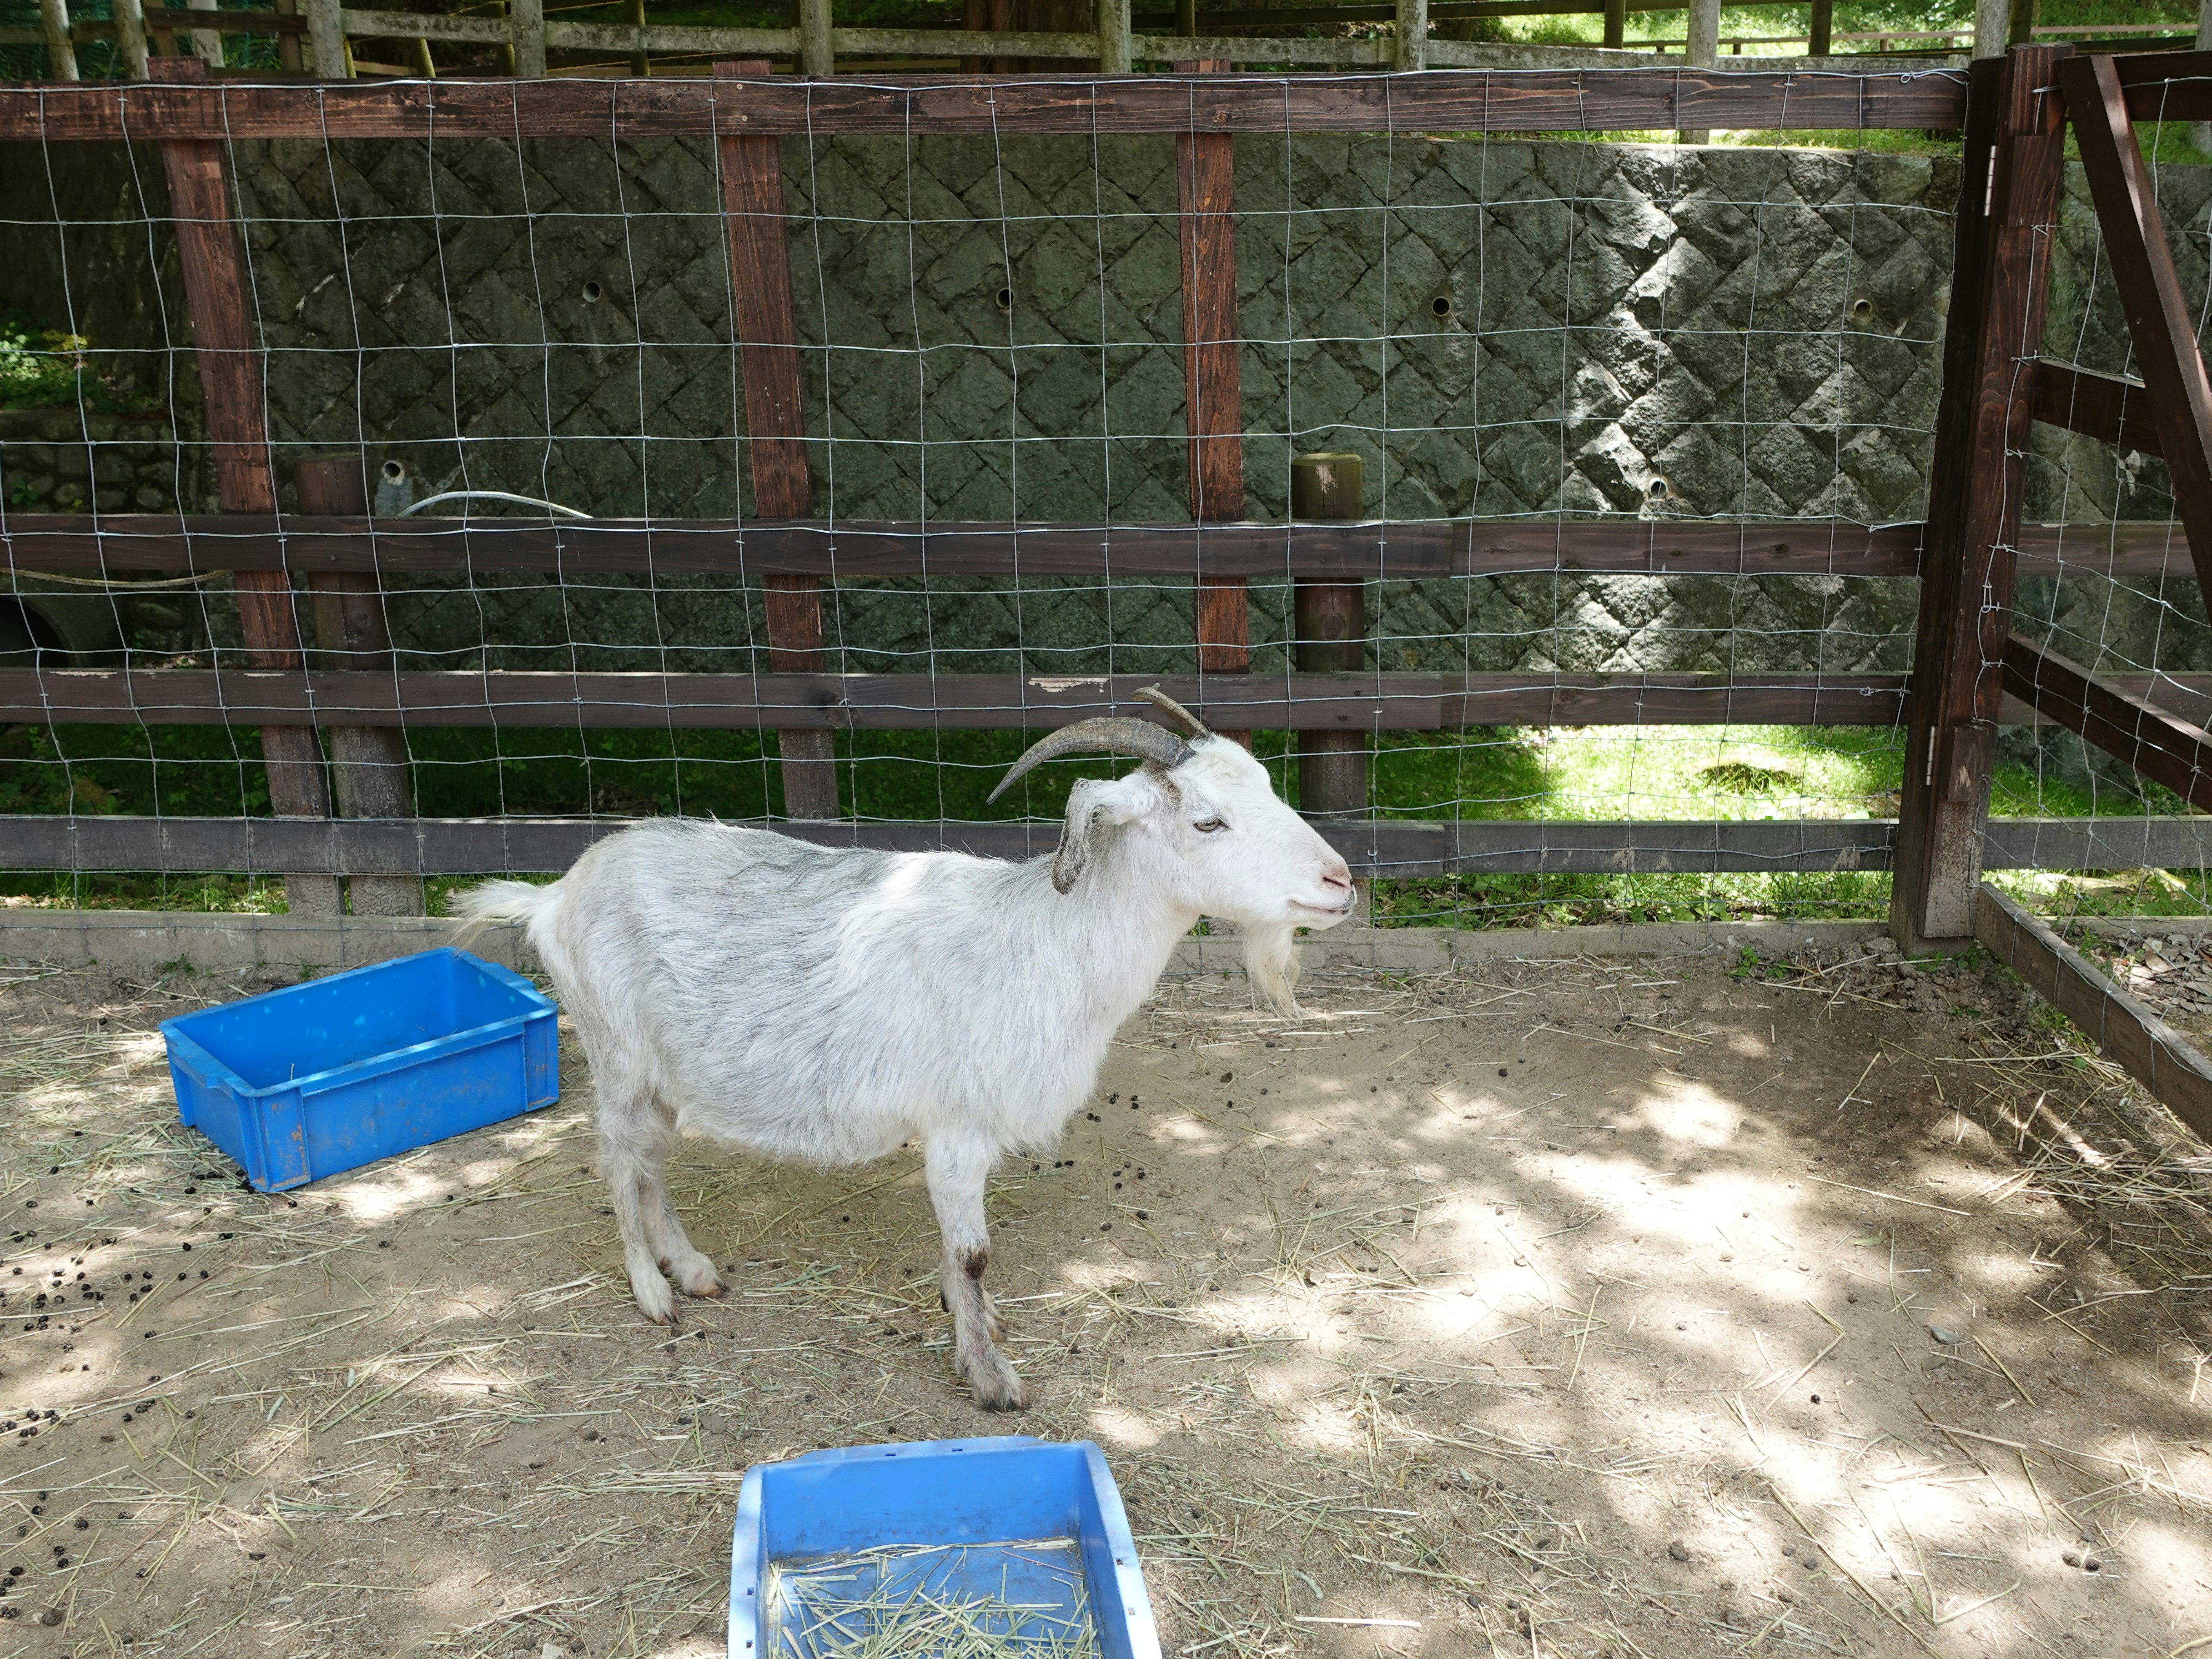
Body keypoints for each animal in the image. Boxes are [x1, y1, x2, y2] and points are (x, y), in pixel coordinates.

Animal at [448, 689, 1354, 1408]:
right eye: (1207, 819)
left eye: (1267, 786)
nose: (1341, 882)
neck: (1044, 942)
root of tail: (554, 896)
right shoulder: (956, 1127)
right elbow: (974, 1253)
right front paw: (990, 1377)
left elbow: (965, 1259)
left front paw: (975, 1328)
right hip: (617, 1055)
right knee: (616, 1162)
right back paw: (650, 1292)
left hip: (663, 1074)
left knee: (649, 1164)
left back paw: (693, 1268)